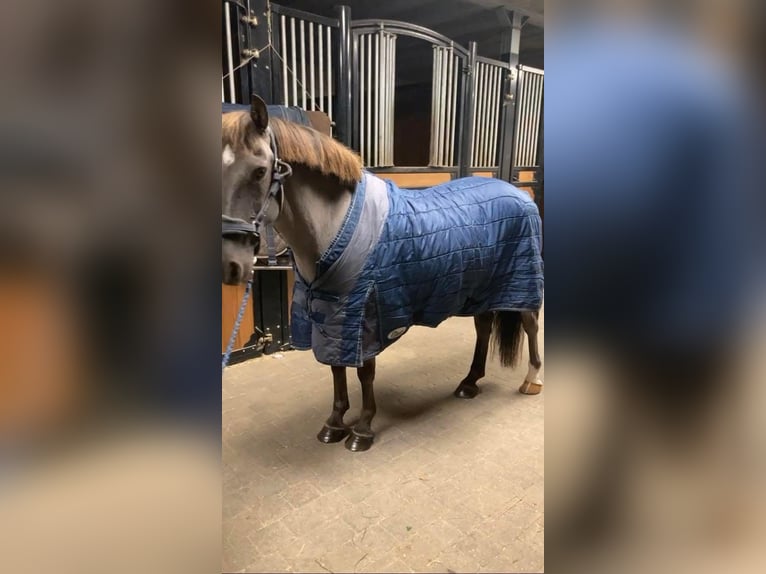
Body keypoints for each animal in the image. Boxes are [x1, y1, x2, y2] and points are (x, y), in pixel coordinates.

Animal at [222, 95, 544, 452]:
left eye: (260, 171)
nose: (230, 264)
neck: (333, 226)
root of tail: (519, 193)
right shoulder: (330, 317)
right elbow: (335, 369)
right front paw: (334, 424)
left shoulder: (366, 313)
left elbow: (365, 372)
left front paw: (362, 429)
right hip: (482, 289)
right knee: (484, 327)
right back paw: (469, 382)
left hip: (520, 280)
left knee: (530, 323)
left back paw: (532, 380)